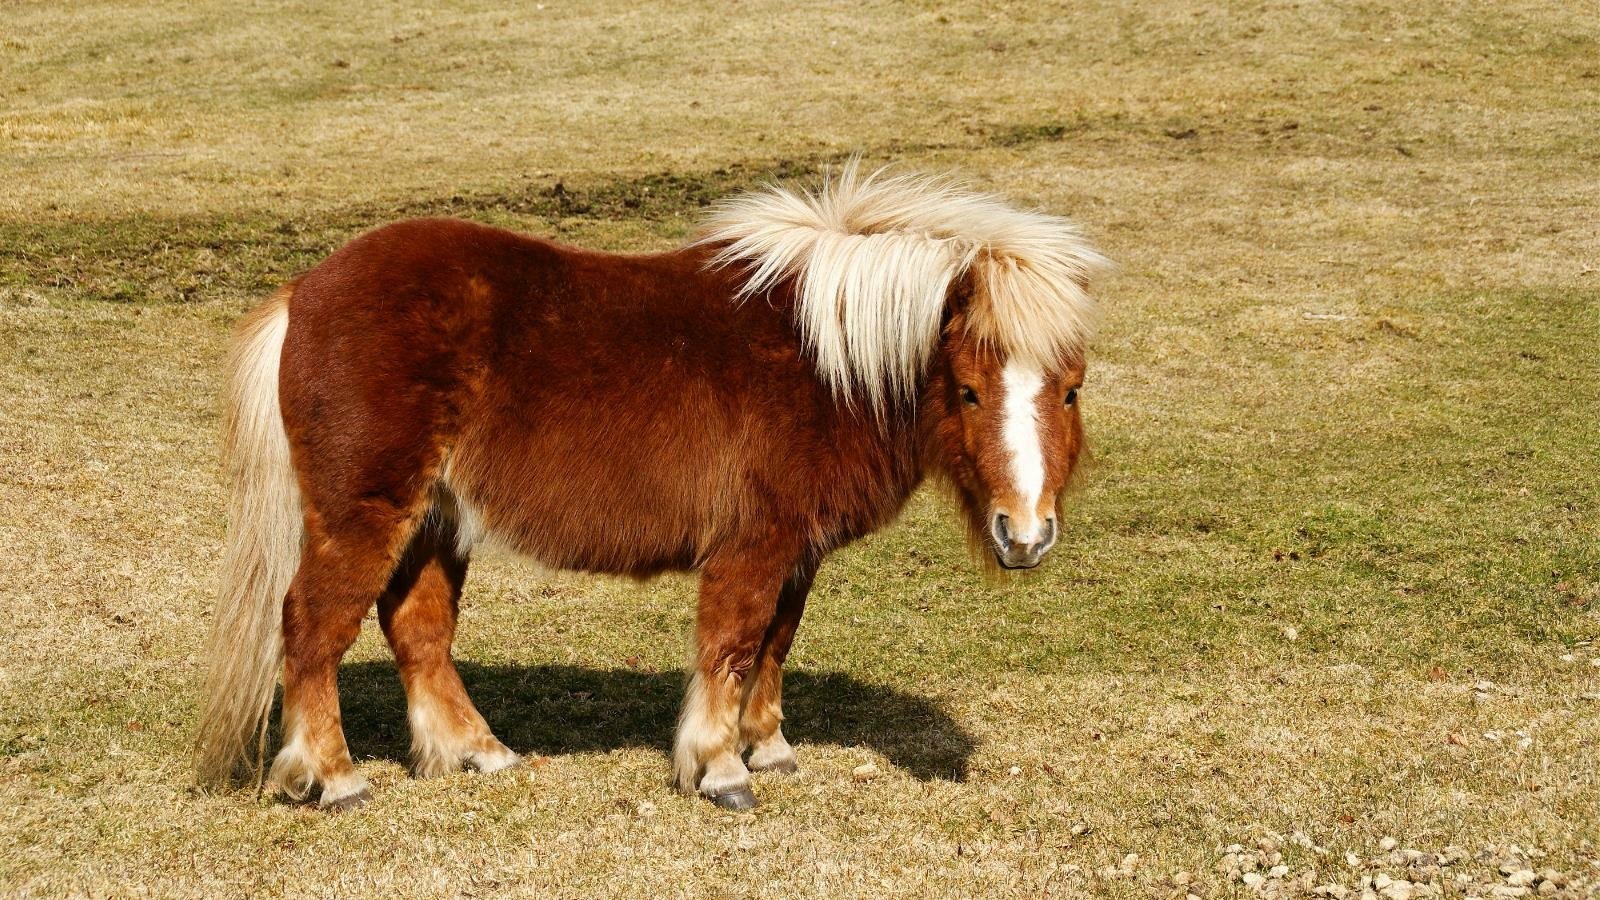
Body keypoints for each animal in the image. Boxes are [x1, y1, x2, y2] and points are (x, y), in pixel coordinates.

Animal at [193, 163, 1109, 811]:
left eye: (1070, 390)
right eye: (968, 391)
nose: (1025, 535)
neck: (825, 360)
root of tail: (304, 292)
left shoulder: (798, 551)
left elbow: (775, 642)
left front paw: (769, 748)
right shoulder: (753, 546)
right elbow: (732, 644)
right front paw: (720, 769)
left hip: (436, 519)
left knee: (417, 630)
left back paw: (476, 753)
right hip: (365, 511)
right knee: (313, 627)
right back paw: (334, 778)